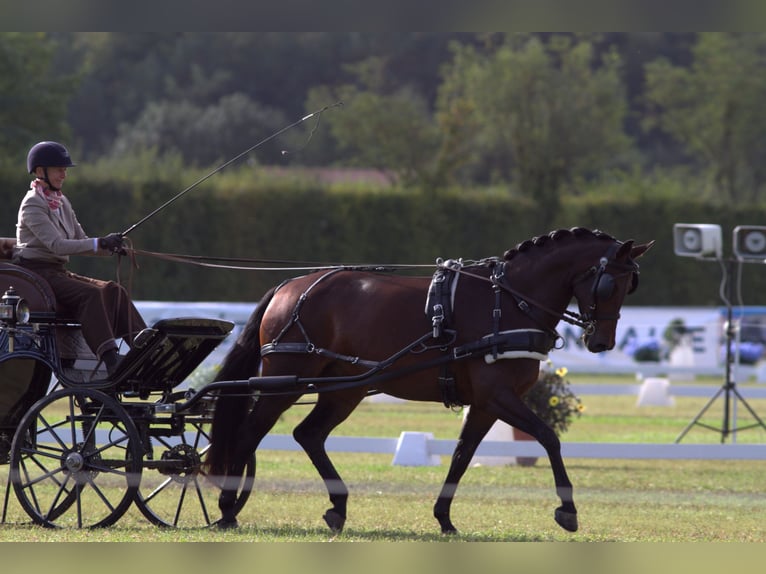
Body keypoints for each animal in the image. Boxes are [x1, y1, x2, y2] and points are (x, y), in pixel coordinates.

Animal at [206, 228, 656, 536]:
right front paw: (568, 510)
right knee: (249, 432)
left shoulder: (486, 402)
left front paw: (444, 518)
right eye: (609, 284)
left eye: (630, 285)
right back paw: (228, 507)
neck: (509, 301)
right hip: (285, 380)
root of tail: (291, 285)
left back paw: (338, 506)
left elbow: (462, 454)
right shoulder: (499, 395)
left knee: (308, 434)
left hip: (345, 389)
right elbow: (549, 437)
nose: (601, 342)